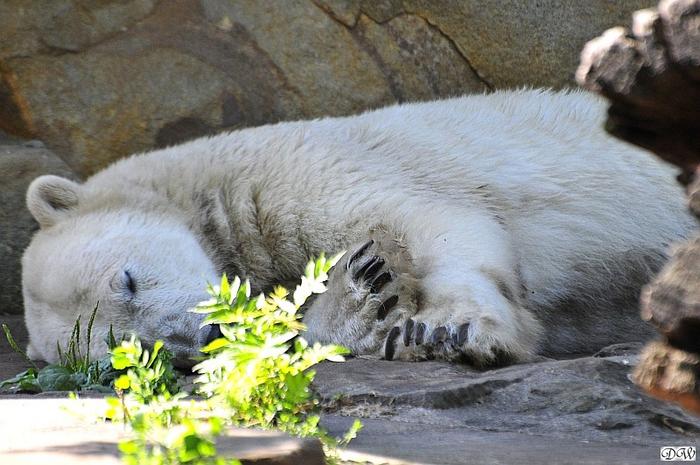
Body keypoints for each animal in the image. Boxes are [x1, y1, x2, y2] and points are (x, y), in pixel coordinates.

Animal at [21, 89, 696, 368]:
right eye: (135, 353)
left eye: (128, 279)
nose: (199, 338)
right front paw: (365, 299)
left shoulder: (295, 171)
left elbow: (440, 223)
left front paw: (455, 329)